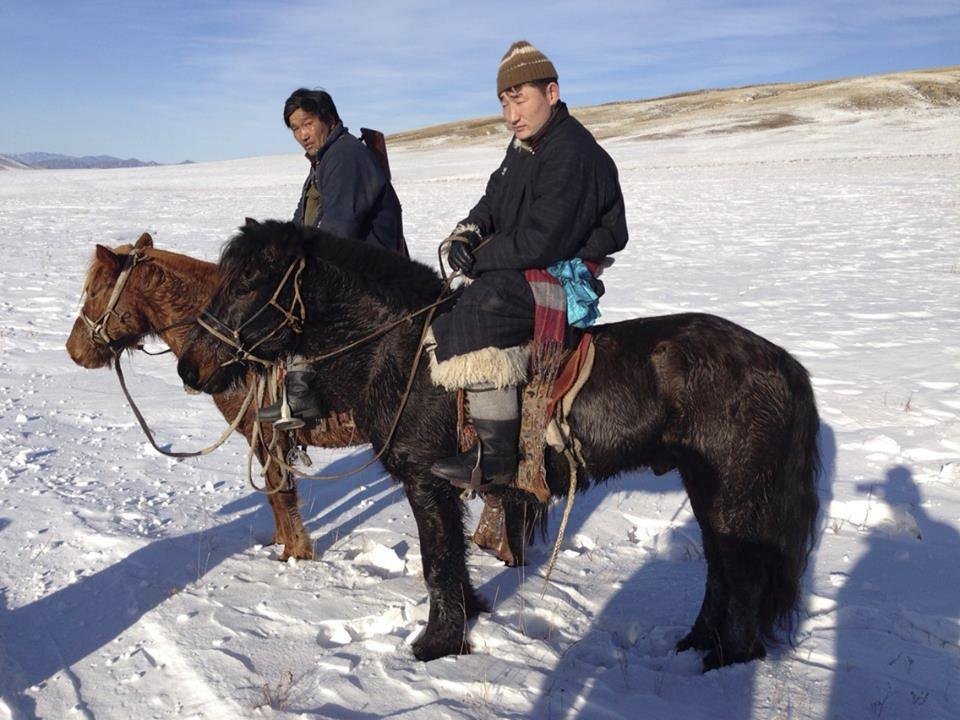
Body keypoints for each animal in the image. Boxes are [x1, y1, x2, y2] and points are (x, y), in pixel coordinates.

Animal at [176, 221, 820, 668]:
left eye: (250, 280)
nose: (189, 367)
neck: (402, 351)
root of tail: (782, 362)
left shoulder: (426, 481)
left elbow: (437, 562)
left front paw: (435, 645)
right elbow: (453, 560)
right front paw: (468, 619)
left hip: (732, 492)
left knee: (740, 575)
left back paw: (725, 662)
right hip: (705, 486)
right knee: (720, 568)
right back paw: (695, 643)